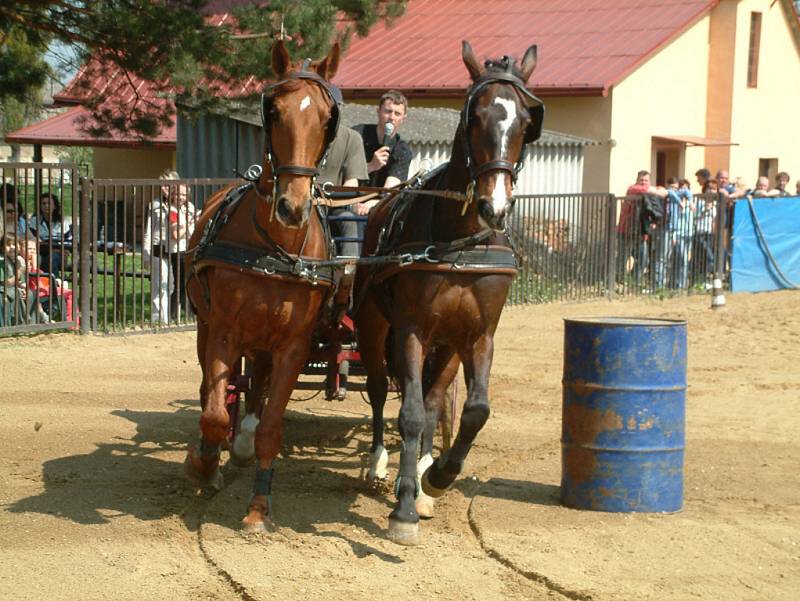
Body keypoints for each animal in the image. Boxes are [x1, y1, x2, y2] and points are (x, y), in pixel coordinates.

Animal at [184, 39, 340, 532]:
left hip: (266, 341)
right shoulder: (224, 330)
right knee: (213, 390)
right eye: (273, 111)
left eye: (327, 118)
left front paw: (258, 508)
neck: (276, 250)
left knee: (258, 387)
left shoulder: (293, 345)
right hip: (207, 327)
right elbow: (215, 414)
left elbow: (273, 427)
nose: (291, 206)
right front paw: (203, 465)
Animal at [354, 38, 544, 544]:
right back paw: (379, 463)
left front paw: (436, 477)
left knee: (436, 399)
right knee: (379, 389)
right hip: (372, 325)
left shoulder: (477, 336)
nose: (494, 207)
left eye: (525, 122)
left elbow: (472, 411)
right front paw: (402, 508)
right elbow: (410, 413)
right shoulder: (411, 330)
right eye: (474, 116)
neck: (459, 243)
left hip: (447, 346)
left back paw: (421, 472)